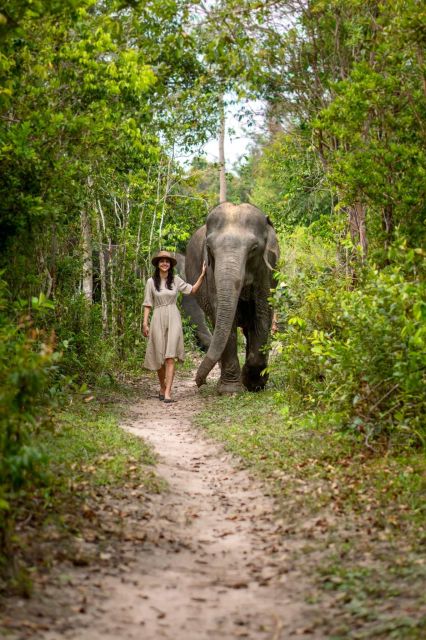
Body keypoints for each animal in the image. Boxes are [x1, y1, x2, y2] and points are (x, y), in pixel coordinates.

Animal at [186, 200, 280, 392]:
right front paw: (230, 391)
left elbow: (263, 313)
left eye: (254, 248)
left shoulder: (265, 271)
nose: (200, 382)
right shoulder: (212, 276)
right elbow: (223, 317)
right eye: (209, 248)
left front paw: (254, 384)